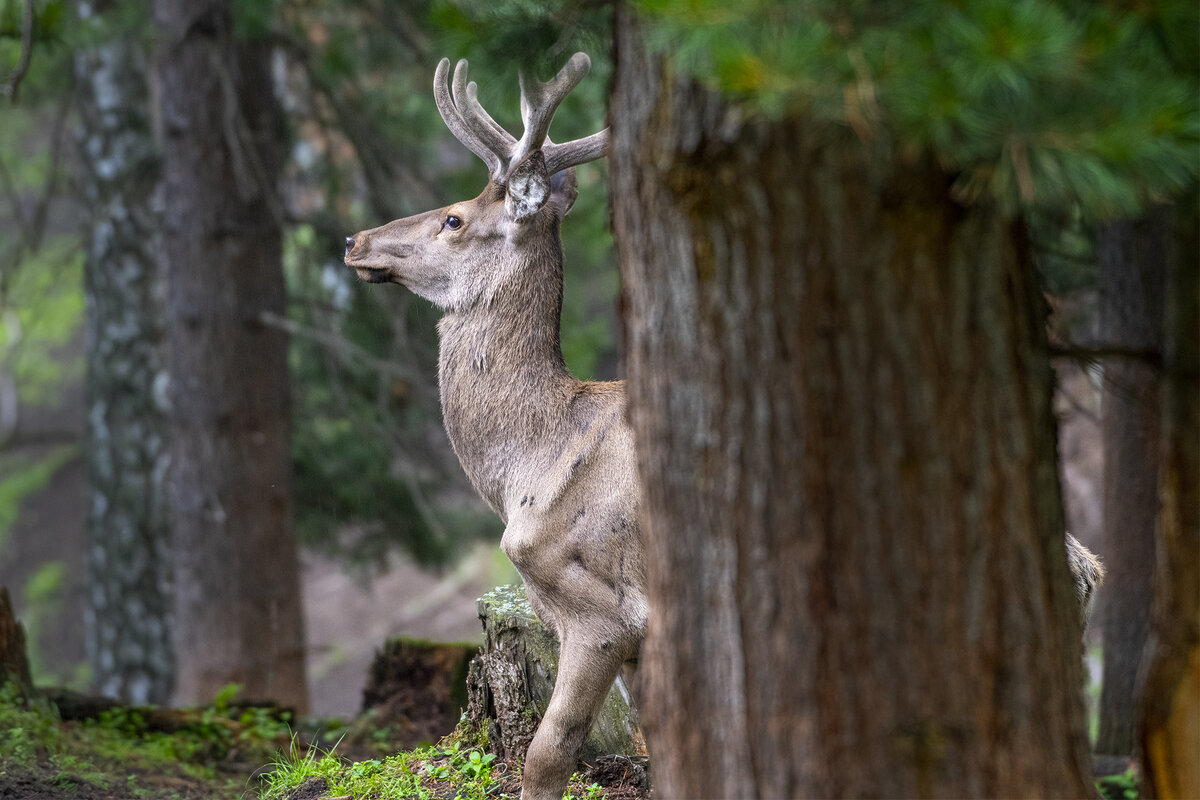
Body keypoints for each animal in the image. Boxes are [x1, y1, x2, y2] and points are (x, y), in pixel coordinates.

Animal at [345, 51, 1104, 800]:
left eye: (453, 219)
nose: (355, 240)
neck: (528, 463)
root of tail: (1087, 568)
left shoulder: (601, 613)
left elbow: (547, 758)